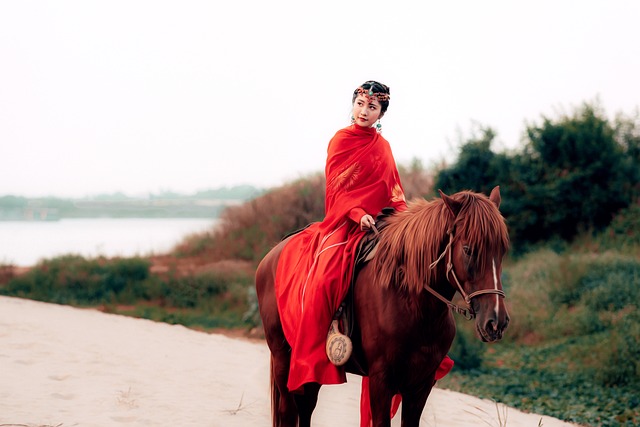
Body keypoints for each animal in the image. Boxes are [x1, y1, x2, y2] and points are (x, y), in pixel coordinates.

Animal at [255, 187, 510, 427]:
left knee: (306, 406)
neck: (415, 306)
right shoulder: (381, 380)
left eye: (502, 251)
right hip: (283, 356)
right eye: (468, 249)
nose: (496, 321)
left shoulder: (421, 383)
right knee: (289, 410)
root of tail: (270, 256)